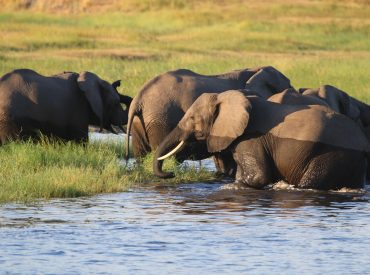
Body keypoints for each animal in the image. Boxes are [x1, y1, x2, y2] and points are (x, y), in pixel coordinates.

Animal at [154, 90, 370, 192]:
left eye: (192, 119)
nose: (171, 173)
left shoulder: (251, 138)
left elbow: (258, 177)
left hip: (329, 153)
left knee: (311, 182)